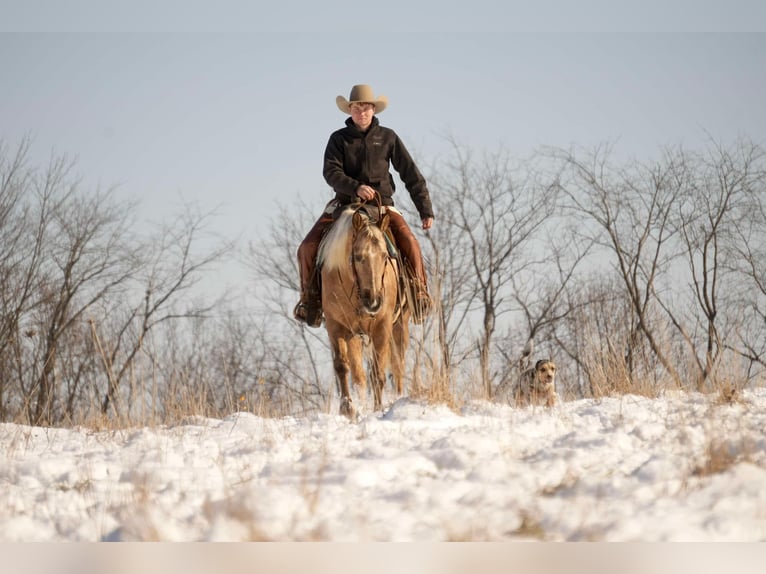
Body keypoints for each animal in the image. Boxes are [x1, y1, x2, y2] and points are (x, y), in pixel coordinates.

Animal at [320, 206, 414, 418]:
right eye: (357, 257)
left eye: (385, 256)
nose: (373, 302)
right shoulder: (336, 327)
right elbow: (343, 367)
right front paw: (347, 409)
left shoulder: (382, 326)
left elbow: (378, 372)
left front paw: (378, 409)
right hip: (355, 336)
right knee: (359, 377)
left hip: (399, 326)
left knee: (397, 366)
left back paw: (397, 397)